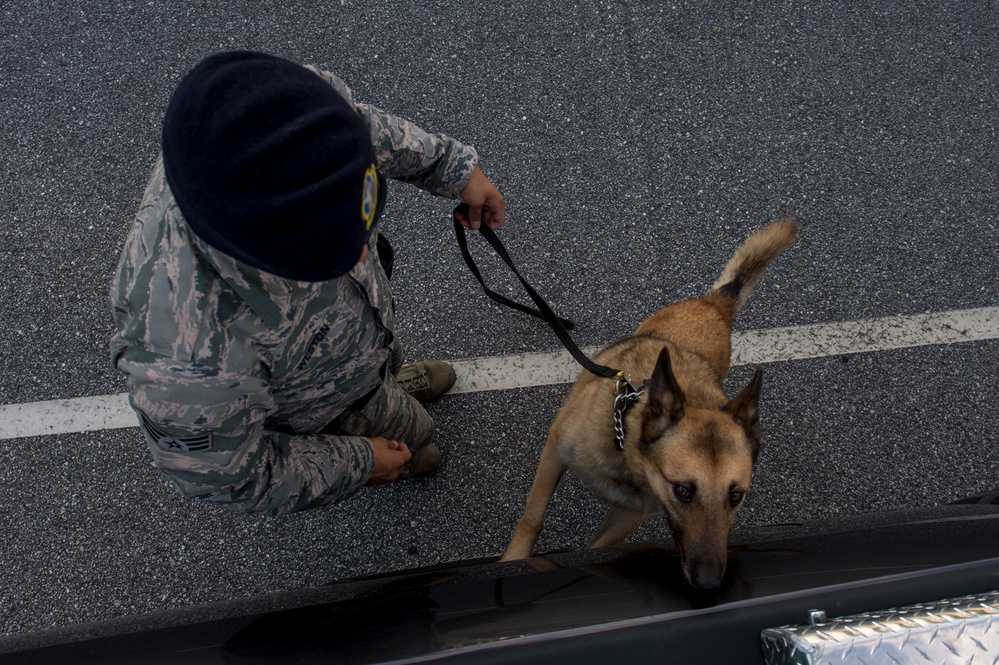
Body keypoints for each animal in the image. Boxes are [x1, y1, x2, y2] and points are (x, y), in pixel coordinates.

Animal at [504, 218, 800, 588]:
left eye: (736, 496)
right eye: (683, 491)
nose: (709, 582)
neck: (624, 442)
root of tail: (714, 307)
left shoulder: (629, 513)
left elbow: (595, 547)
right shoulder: (555, 450)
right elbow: (532, 516)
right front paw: (512, 560)